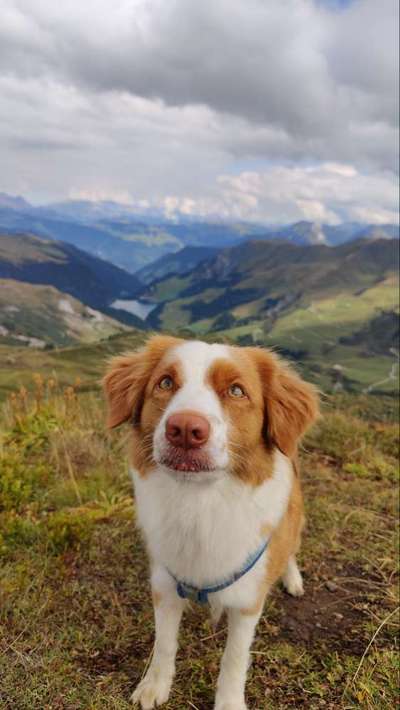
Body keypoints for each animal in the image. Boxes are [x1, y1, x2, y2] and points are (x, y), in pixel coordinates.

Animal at [102, 336, 318, 708]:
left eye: (236, 390)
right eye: (165, 383)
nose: (185, 430)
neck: (199, 503)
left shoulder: (247, 602)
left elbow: (233, 660)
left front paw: (229, 702)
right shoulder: (165, 584)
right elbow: (164, 643)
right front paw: (155, 685)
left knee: (290, 549)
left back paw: (292, 578)